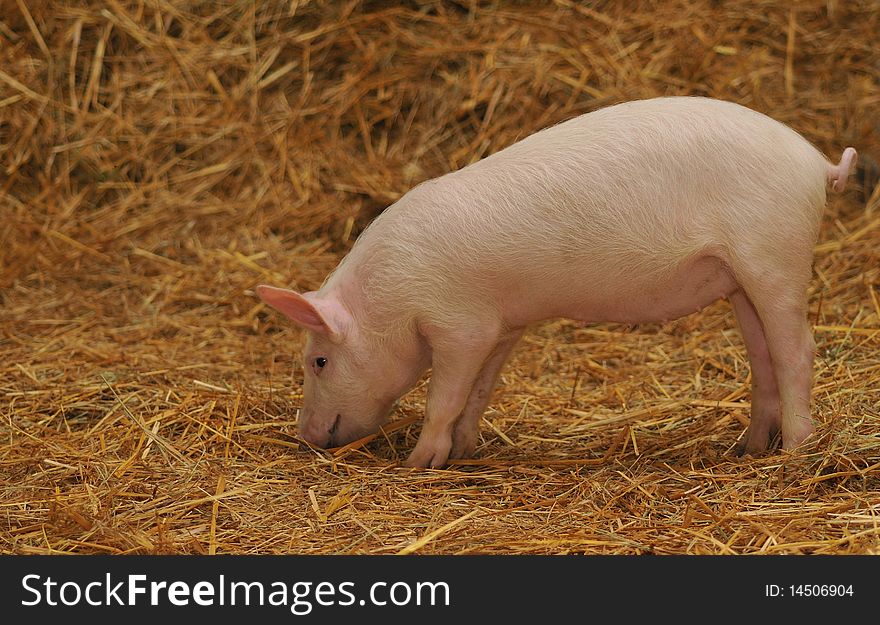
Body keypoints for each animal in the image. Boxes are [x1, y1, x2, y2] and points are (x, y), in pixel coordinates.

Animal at [256, 96, 860, 468]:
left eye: (318, 360)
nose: (304, 434)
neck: (392, 297)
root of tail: (817, 164)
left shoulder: (461, 325)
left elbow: (443, 398)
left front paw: (418, 464)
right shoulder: (503, 325)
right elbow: (480, 391)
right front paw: (467, 451)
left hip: (774, 256)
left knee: (797, 349)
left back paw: (797, 452)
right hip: (740, 281)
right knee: (763, 358)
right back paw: (747, 450)